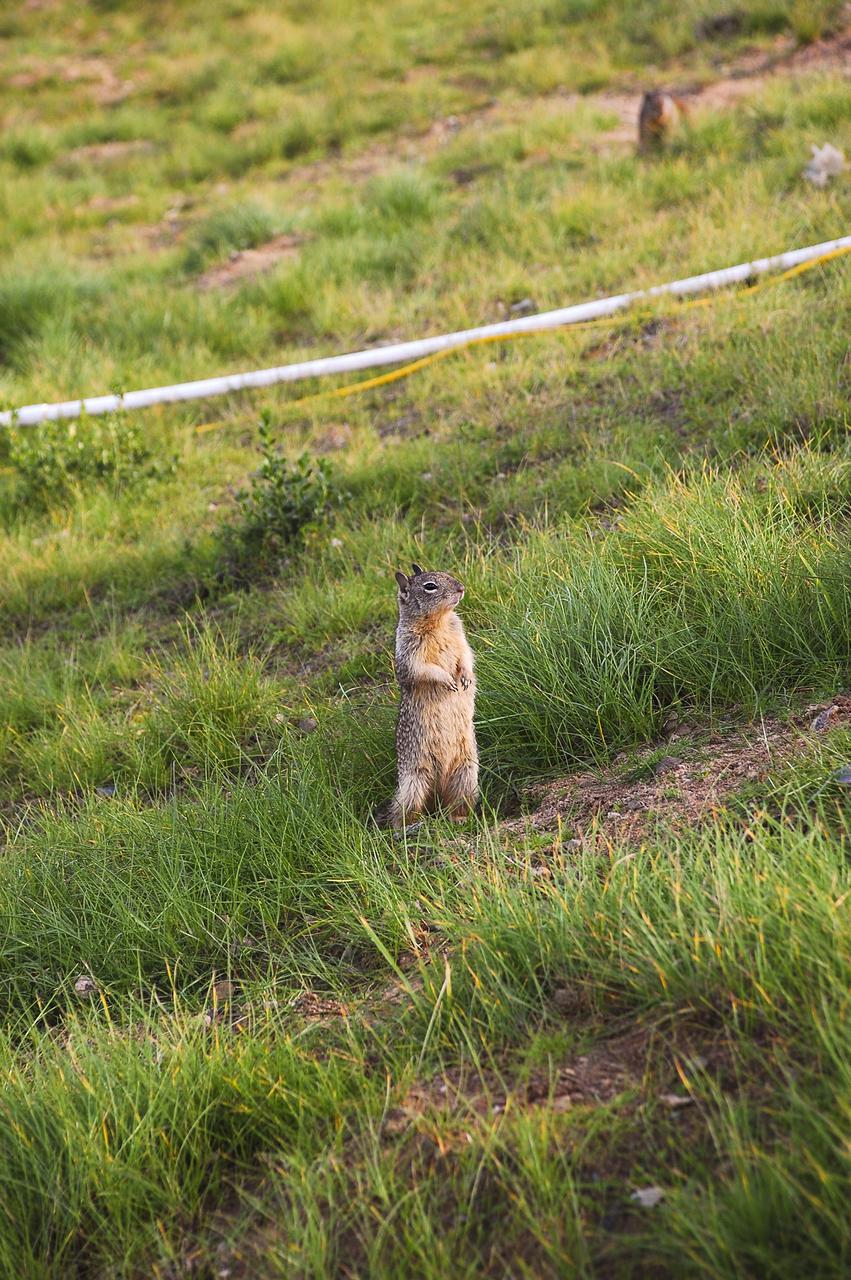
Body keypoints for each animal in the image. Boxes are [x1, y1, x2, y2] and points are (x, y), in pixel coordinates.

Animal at [379, 564, 479, 830]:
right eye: (430, 586)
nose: (461, 588)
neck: (439, 621)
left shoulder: (459, 635)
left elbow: (466, 655)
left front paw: (465, 678)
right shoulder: (409, 651)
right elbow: (424, 669)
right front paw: (447, 681)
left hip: (467, 774)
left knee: (456, 803)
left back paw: (459, 818)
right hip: (413, 783)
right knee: (403, 810)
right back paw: (407, 826)